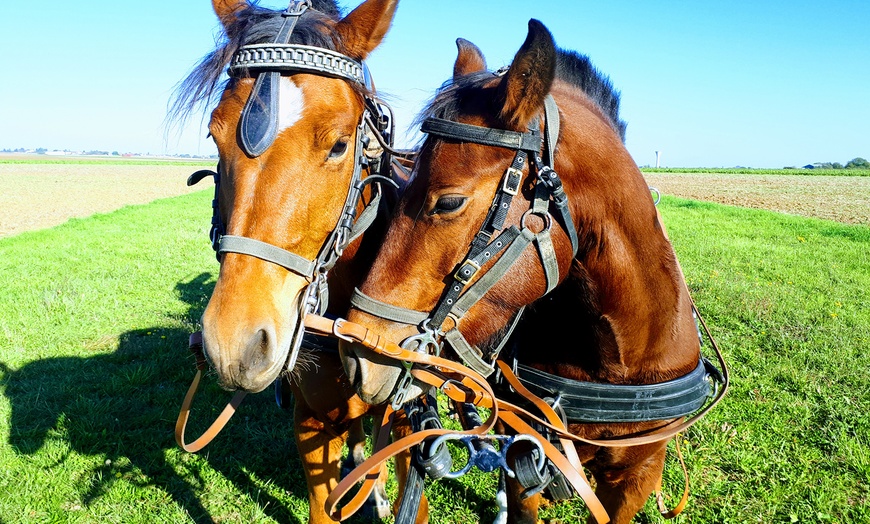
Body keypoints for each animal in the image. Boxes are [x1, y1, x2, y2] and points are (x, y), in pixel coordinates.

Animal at [340, 19, 724, 524]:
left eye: (449, 201)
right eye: (402, 193)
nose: (358, 355)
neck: (620, 362)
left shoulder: (637, 477)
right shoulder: (527, 463)